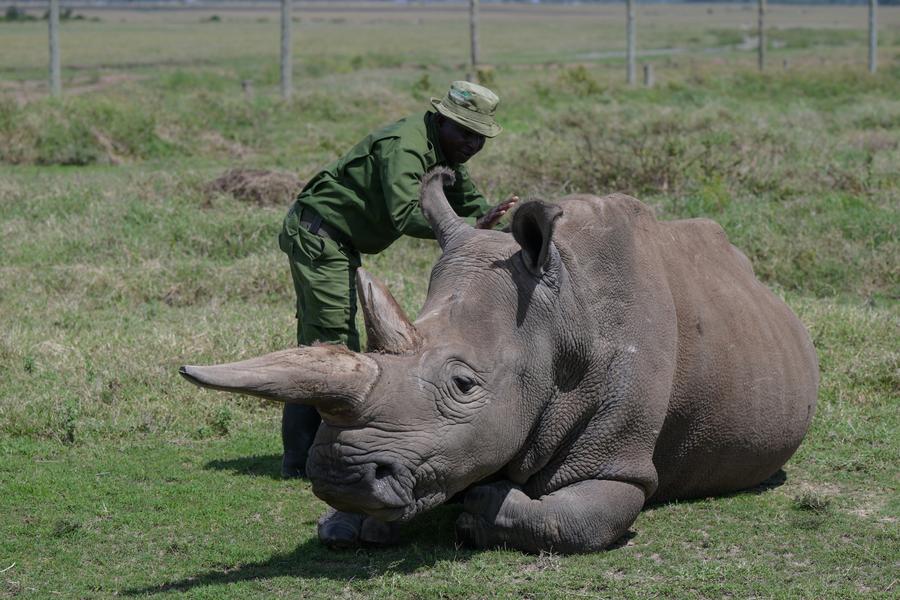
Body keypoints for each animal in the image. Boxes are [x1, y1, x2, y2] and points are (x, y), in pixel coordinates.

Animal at [180, 167, 818, 554]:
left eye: (464, 385)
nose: (342, 476)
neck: (559, 315)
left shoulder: (619, 462)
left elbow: (579, 518)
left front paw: (477, 509)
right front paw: (345, 524)